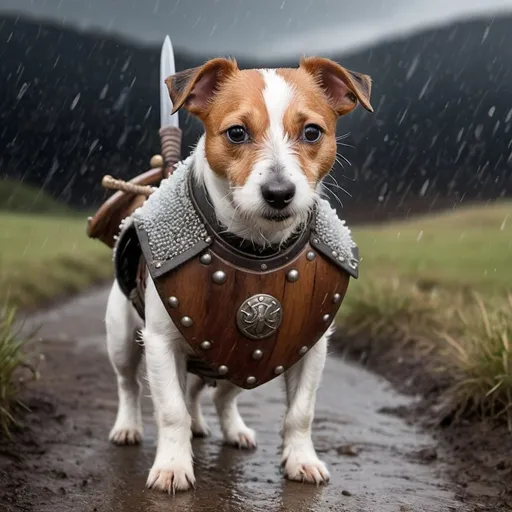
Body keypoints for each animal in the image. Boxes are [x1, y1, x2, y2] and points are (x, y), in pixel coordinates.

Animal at [104, 56, 370, 492]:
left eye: (312, 132)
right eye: (237, 132)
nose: (279, 193)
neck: (256, 246)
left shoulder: (311, 348)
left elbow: (301, 412)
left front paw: (301, 460)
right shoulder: (160, 344)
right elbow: (170, 409)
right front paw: (173, 465)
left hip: (231, 363)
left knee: (214, 396)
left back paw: (230, 430)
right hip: (124, 339)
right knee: (129, 385)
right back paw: (128, 427)